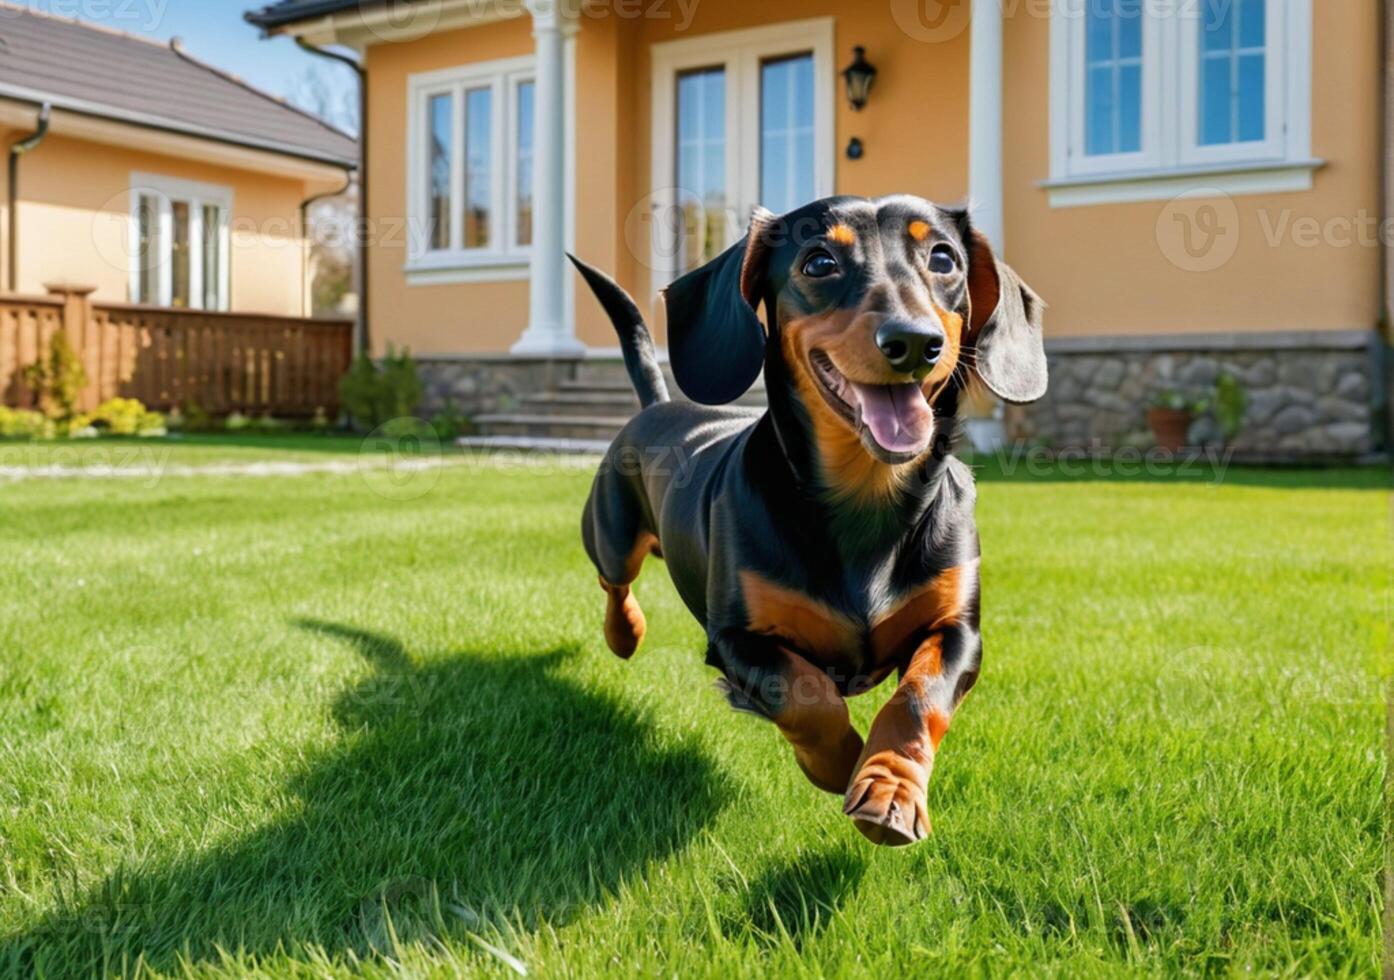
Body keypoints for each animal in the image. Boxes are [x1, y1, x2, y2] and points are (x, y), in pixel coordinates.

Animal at [568, 195, 1048, 847]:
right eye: (819, 262)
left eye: (944, 258)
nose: (913, 341)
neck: (866, 499)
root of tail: (659, 406)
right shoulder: (737, 639)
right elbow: (805, 692)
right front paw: (842, 765)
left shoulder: (957, 631)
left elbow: (917, 698)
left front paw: (889, 787)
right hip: (613, 537)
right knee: (614, 582)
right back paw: (626, 634)